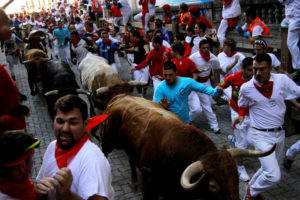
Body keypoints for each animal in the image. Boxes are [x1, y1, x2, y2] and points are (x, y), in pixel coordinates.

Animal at [101, 94, 276, 200]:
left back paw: (133, 182)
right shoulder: (149, 182)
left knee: (131, 160)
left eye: (235, 177)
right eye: (213, 186)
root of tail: (120, 97)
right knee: (104, 152)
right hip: (108, 139)